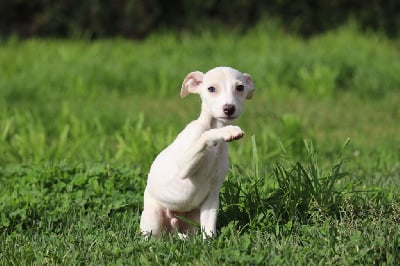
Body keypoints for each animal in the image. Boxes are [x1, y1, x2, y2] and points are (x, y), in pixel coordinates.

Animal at [139, 66, 255, 239]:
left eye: (240, 87)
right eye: (211, 89)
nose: (229, 108)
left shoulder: (212, 196)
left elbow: (209, 228)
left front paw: (210, 242)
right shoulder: (184, 165)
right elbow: (205, 136)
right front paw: (227, 131)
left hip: (192, 221)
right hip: (153, 219)